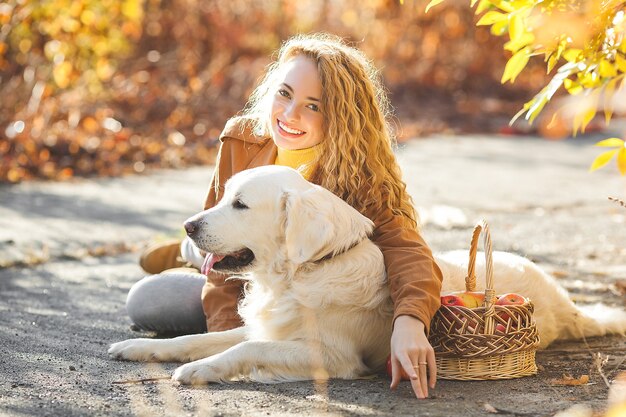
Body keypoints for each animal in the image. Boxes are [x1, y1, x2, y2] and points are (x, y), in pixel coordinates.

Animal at [109, 164, 624, 382]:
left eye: (240, 204)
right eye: (224, 196)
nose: (188, 226)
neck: (306, 272)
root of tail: (563, 301)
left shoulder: (331, 354)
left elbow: (245, 348)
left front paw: (198, 371)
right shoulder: (271, 326)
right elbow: (198, 337)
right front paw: (140, 348)